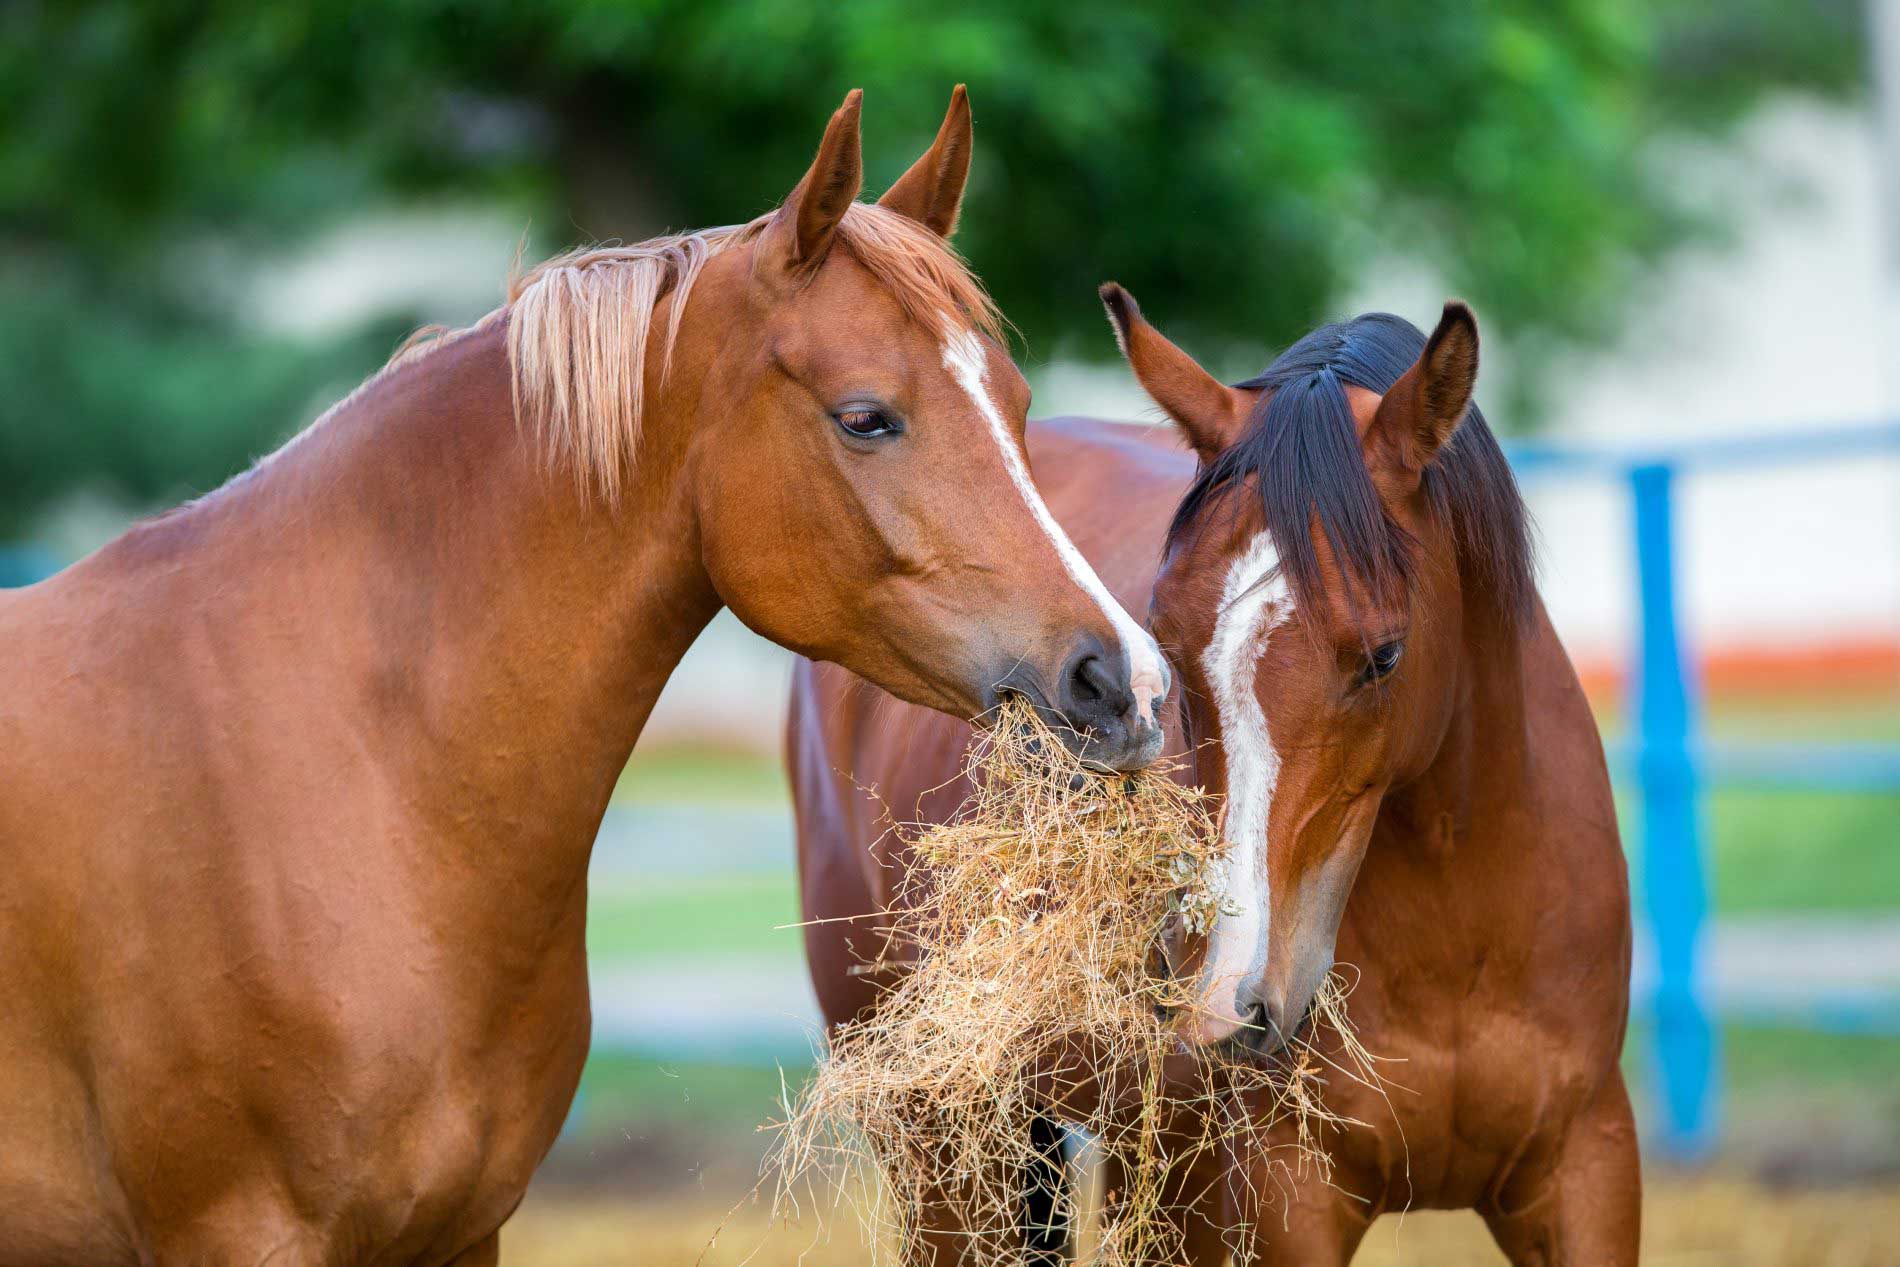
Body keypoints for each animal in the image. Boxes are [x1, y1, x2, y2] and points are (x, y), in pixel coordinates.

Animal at [0, 91, 1170, 1267]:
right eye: (864, 416)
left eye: (1015, 399)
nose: (1123, 685)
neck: (348, 772)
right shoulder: (244, 1234)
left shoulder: (463, 1231)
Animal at [786, 292, 1634, 1261]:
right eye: (1169, 641)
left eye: (1384, 655)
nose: (1231, 1001)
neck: (1461, 930)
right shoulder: (1279, 1201)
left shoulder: (1586, 1169)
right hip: (949, 1153)